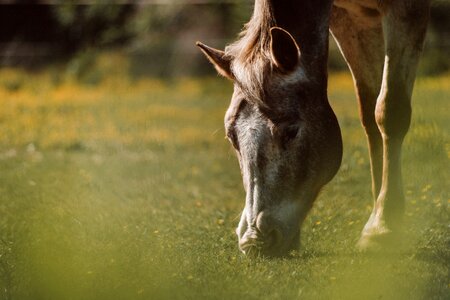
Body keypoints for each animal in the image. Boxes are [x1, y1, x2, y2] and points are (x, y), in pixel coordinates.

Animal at [196, 0, 428, 258]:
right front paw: (381, 216)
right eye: (231, 137)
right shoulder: (351, 20)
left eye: (291, 131)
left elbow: (389, 112)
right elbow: (370, 113)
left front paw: (383, 226)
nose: (254, 241)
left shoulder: (406, 10)